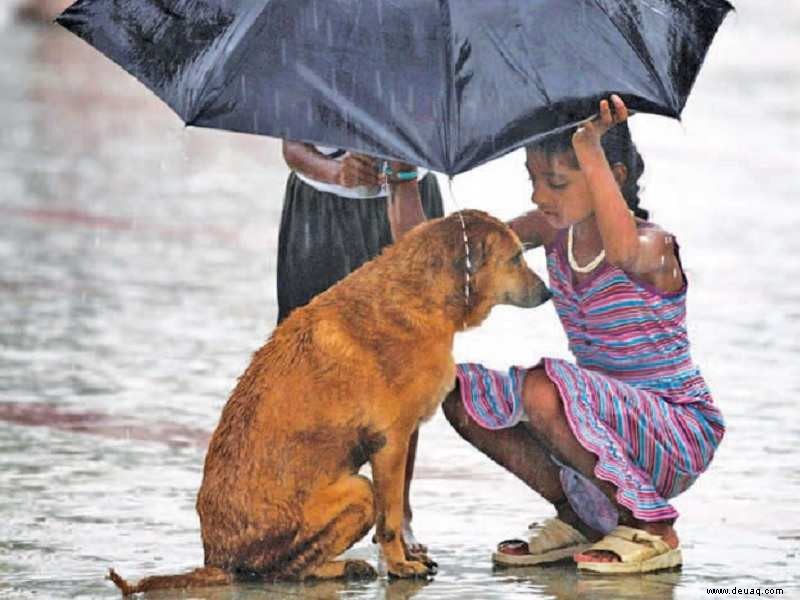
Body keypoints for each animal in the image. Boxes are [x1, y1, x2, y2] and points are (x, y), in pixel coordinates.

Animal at [108, 209, 552, 592]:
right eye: (515, 258)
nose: (548, 291)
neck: (419, 295)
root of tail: (215, 561)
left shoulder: (402, 440)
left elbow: (398, 510)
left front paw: (405, 557)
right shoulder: (391, 442)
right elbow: (391, 518)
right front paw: (399, 564)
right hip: (357, 491)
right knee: (283, 572)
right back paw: (341, 568)